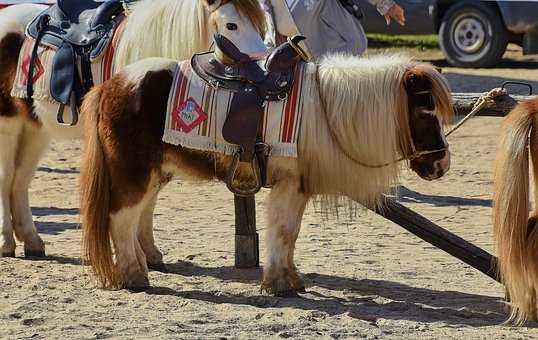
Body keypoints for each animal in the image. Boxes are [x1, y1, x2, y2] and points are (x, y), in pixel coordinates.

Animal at [0, 0, 266, 258]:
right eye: (231, 25)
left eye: (261, 23)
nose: (261, 69)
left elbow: (150, 196)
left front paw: (149, 250)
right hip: (8, 126)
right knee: (6, 178)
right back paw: (6, 242)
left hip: (35, 130)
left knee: (20, 180)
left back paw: (32, 241)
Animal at [80, 53, 452, 292]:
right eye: (425, 110)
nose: (442, 164)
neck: (324, 110)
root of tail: (112, 84)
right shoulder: (287, 185)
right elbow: (283, 231)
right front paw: (277, 284)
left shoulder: (298, 187)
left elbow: (292, 233)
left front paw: (290, 278)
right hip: (134, 171)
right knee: (121, 219)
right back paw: (134, 276)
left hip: (153, 172)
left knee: (138, 216)